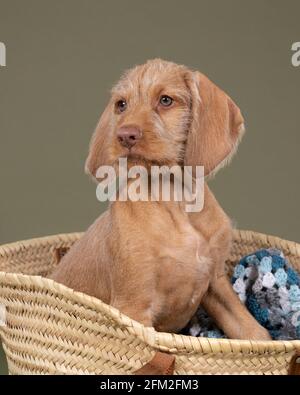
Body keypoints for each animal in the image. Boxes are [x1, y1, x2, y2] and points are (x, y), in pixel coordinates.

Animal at [51, 58, 272, 340]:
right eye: (121, 104)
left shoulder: (216, 281)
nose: (124, 135)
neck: (174, 199)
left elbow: (253, 331)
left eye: (165, 100)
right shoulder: (134, 308)